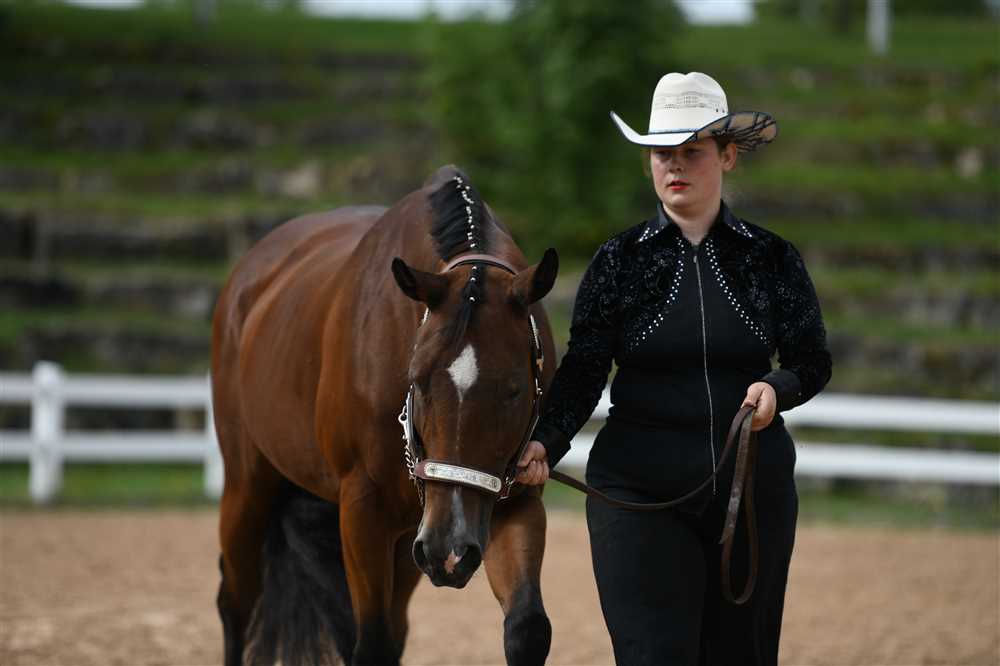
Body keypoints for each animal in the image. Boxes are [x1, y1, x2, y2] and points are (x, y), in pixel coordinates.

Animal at [210, 164, 560, 666]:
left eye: (515, 391)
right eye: (418, 381)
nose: (451, 552)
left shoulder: (513, 500)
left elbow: (527, 627)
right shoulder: (363, 509)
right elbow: (371, 642)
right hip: (249, 487)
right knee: (236, 603)